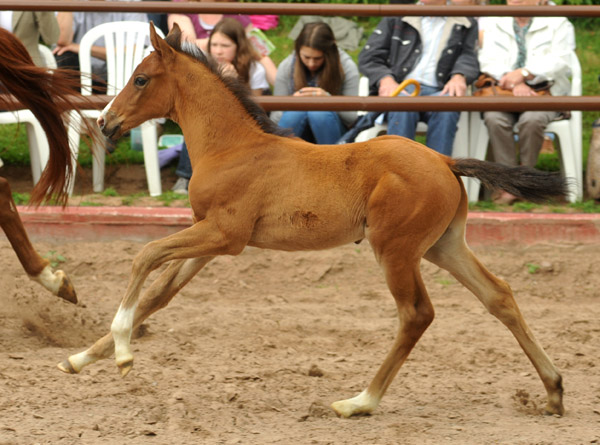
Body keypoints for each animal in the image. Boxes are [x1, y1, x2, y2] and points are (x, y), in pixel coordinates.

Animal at [59, 24, 568, 418]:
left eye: (141, 79)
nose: (104, 122)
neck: (232, 147)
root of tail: (444, 159)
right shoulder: (210, 242)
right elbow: (158, 295)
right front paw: (79, 359)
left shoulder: (224, 235)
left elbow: (144, 256)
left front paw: (123, 354)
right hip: (444, 245)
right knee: (499, 295)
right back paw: (554, 390)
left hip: (396, 250)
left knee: (416, 314)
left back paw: (360, 401)